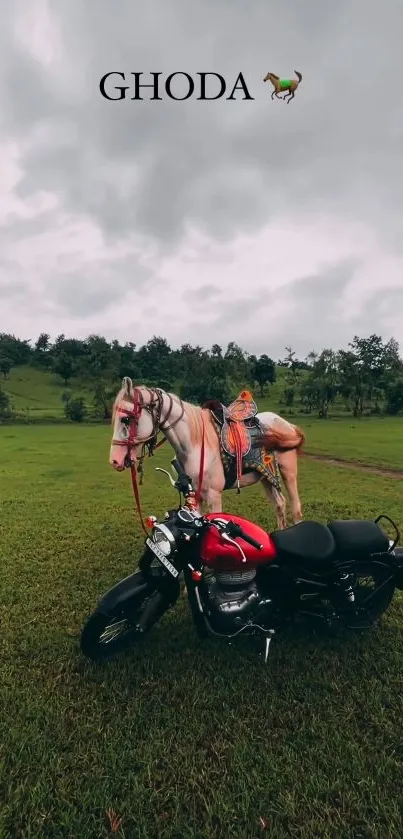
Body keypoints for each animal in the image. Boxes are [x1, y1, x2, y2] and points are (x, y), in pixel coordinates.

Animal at [109, 378, 304, 528]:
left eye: (126, 419)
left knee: (295, 509)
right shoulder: (195, 495)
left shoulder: (213, 495)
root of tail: (287, 424)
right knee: (280, 505)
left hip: (288, 472)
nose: (114, 461)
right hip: (267, 477)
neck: (193, 444)